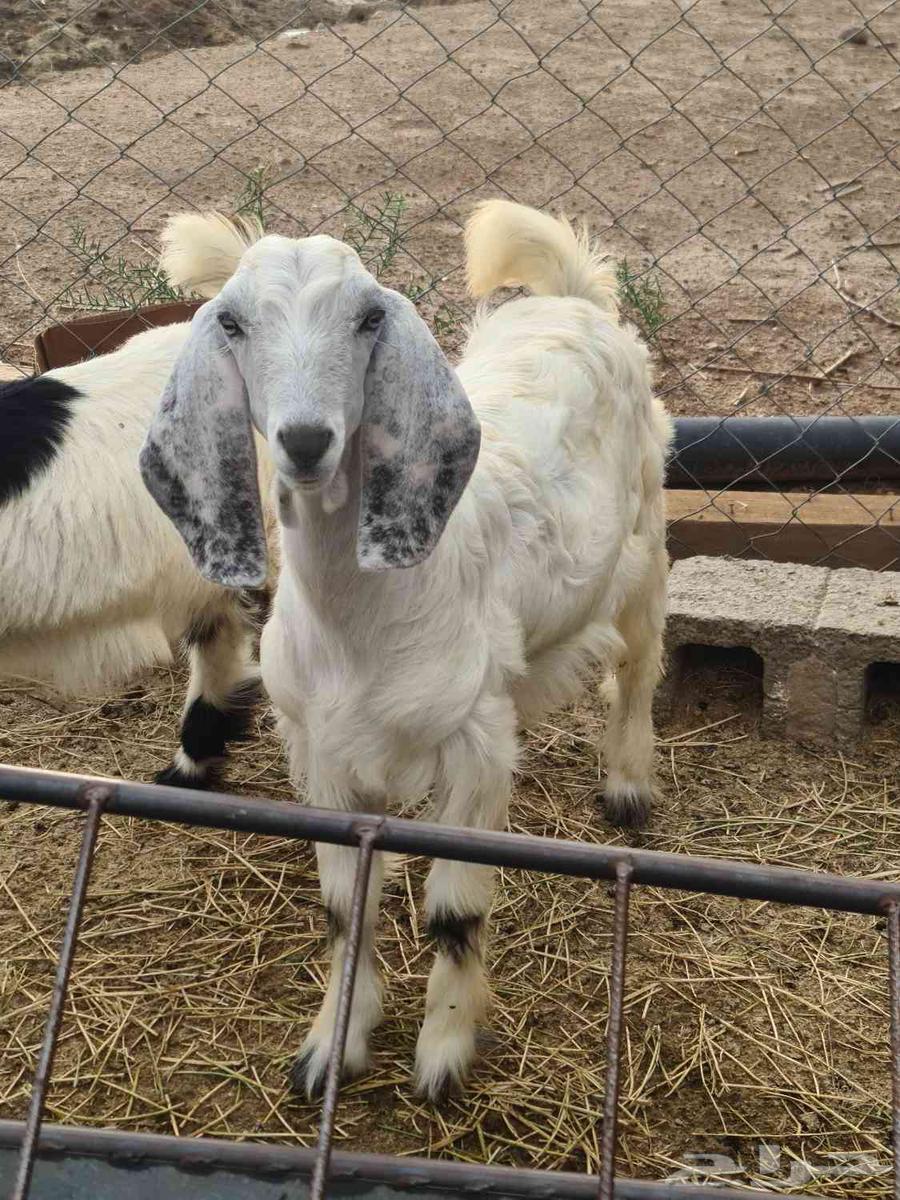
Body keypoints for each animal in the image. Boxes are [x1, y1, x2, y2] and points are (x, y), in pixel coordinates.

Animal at [141, 199, 672, 1101]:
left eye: (368, 318)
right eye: (234, 322)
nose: (306, 439)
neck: (363, 624)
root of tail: (568, 299)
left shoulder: (475, 745)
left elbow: (454, 911)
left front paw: (444, 1055)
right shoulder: (320, 753)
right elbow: (343, 906)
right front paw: (333, 1044)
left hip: (647, 531)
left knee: (639, 663)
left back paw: (629, 781)